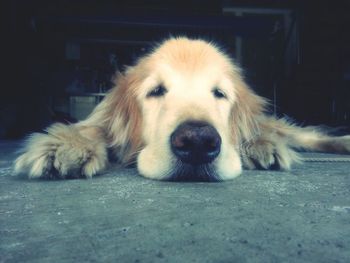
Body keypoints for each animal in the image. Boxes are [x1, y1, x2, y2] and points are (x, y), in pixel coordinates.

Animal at [15, 36, 350, 182]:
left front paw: (255, 144)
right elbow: (96, 128)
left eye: (219, 93)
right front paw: (68, 145)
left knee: (301, 134)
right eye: (156, 91)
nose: (198, 142)